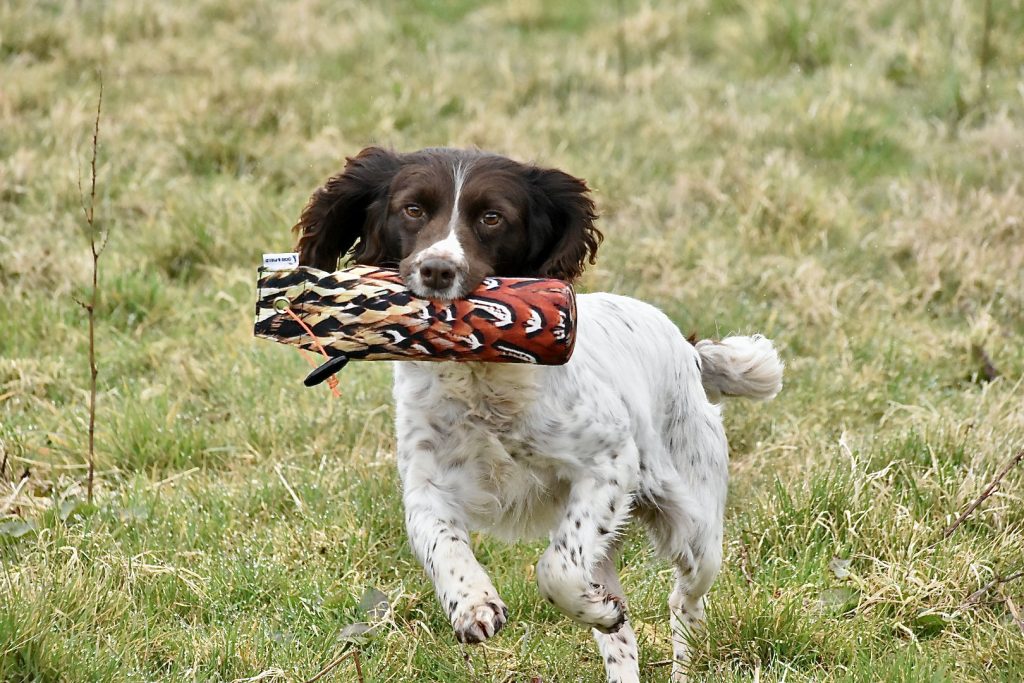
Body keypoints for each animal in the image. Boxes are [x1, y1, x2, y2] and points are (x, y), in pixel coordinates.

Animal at [292, 147, 778, 679]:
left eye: (492, 217)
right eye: (413, 210)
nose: (438, 270)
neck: (480, 376)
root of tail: (689, 351)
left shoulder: (609, 463)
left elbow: (555, 569)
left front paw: (586, 604)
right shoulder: (427, 482)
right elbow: (441, 541)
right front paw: (475, 605)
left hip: (695, 528)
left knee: (684, 603)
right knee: (622, 637)